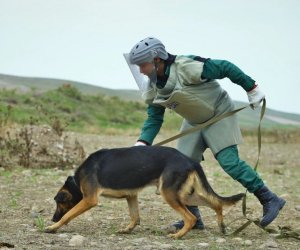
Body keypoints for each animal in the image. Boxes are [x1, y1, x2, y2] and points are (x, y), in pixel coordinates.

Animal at [46, 146, 244, 239]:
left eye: (58, 202)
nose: (53, 218)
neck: (77, 179)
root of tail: (189, 160)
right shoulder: (131, 195)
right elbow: (135, 217)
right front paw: (127, 230)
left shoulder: (89, 200)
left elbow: (68, 215)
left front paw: (53, 228)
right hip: (186, 195)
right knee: (216, 203)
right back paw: (221, 225)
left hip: (170, 194)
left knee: (191, 217)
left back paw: (178, 236)